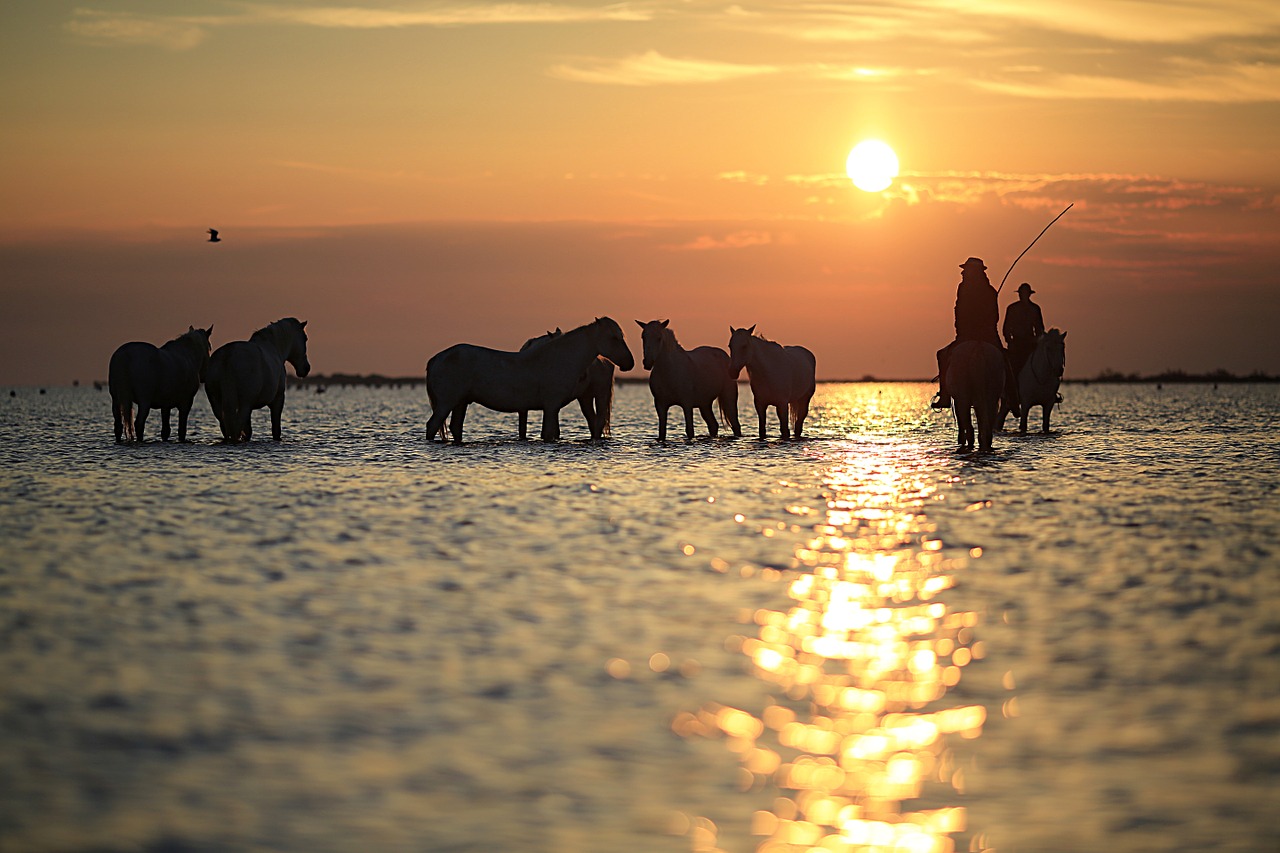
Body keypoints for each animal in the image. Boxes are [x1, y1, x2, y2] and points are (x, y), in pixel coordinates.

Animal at [427, 313, 632, 445]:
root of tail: (436, 358)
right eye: (614, 337)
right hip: (447, 403)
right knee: (432, 425)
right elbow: (547, 434)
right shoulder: (551, 407)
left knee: (455, 427)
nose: (629, 363)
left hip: (460, 403)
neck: (558, 358)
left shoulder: (550, 408)